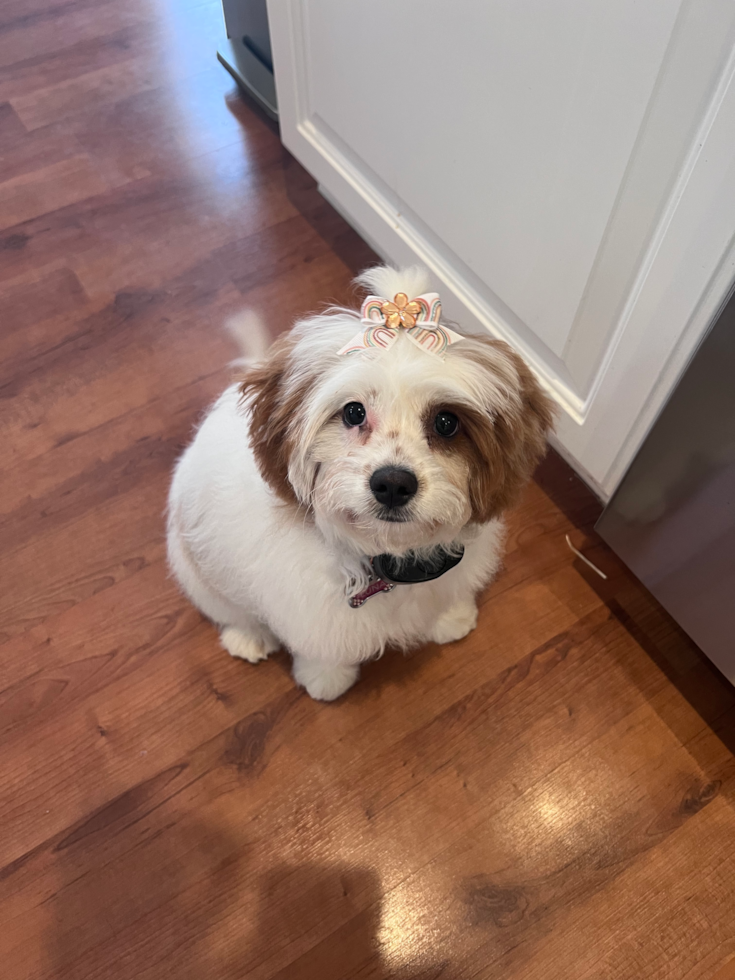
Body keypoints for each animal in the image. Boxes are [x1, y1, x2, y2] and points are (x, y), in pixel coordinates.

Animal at [167, 264, 556, 700]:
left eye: (446, 422)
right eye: (353, 412)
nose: (393, 483)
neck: (387, 558)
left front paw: (451, 617)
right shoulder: (308, 609)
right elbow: (319, 645)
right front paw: (326, 679)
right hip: (193, 562)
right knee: (228, 607)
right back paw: (247, 636)